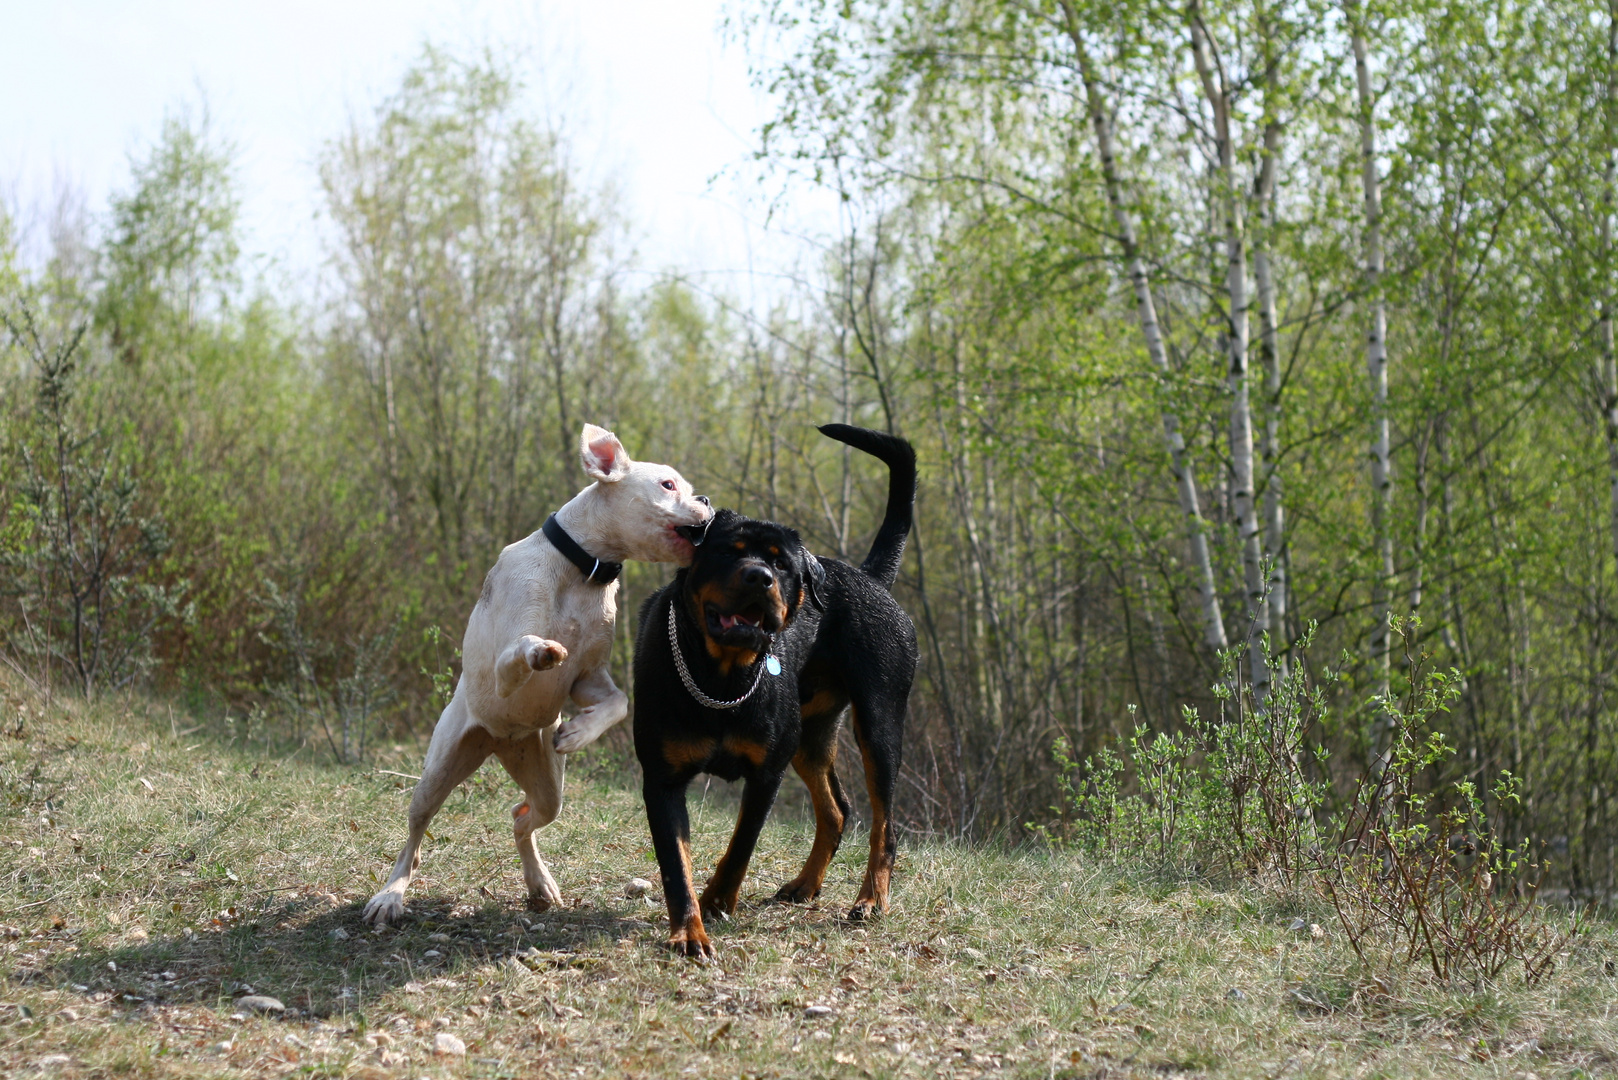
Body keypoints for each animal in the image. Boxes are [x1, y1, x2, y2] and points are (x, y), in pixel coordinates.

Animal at [372, 427, 715, 926]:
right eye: (668, 485)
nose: (706, 500)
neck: (582, 571)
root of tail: (499, 740)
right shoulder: (505, 666)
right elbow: (522, 652)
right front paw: (542, 651)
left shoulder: (589, 677)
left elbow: (617, 703)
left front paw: (577, 732)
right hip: (437, 772)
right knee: (414, 836)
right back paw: (391, 895)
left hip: (548, 786)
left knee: (522, 816)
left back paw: (539, 883)